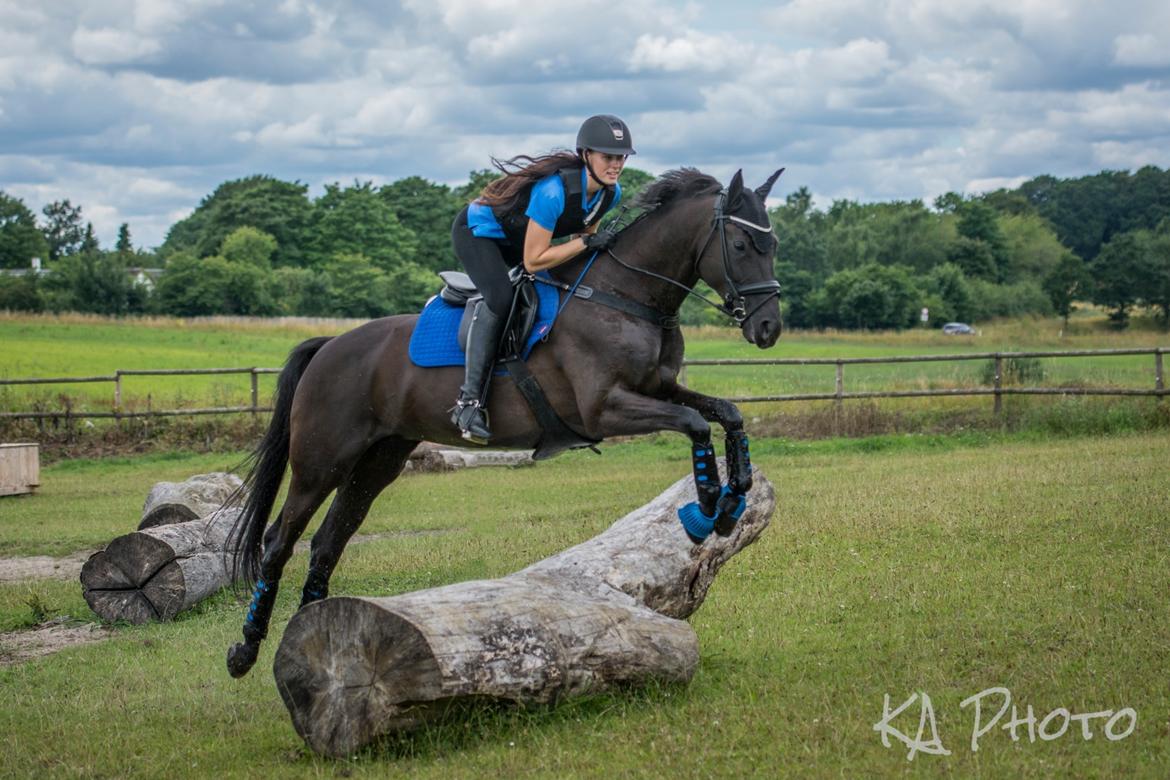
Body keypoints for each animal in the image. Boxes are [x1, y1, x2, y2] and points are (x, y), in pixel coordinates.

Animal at [225, 169, 786, 678]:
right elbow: (695, 423)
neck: (623, 297)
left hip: (378, 460)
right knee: (279, 541)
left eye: (773, 242)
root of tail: (329, 347)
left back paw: (313, 632)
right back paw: (246, 650)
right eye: (740, 243)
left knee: (328, 541)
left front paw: (734, 498)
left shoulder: (659, 389)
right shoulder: (605, 409)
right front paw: (707, 506)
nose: (768, 328)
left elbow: (727, 413)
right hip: (322, 462)